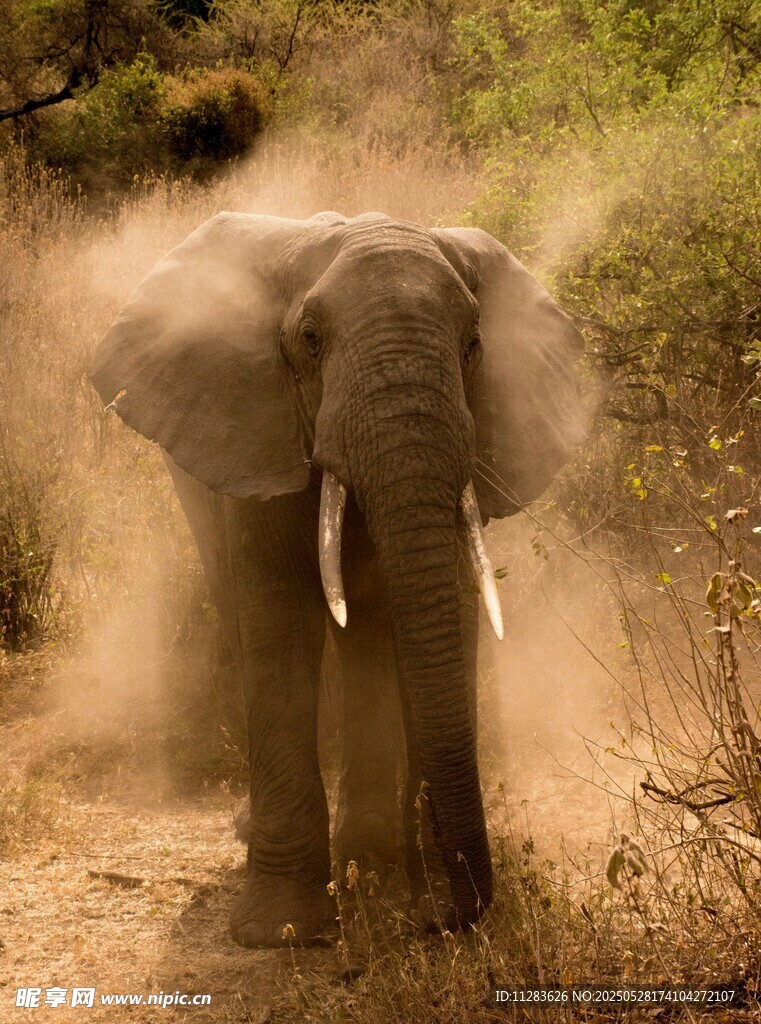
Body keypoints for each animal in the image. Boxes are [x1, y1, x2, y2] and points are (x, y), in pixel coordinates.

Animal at [91, 211, 584, 948]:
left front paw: (401, 892)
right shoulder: (257, 433)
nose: (443, 918)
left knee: (365, 637)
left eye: (473, 344)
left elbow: (439, 612)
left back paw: (367, 857)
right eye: (309, 340)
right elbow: (278, 620)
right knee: (243, 616)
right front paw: (281, 932)